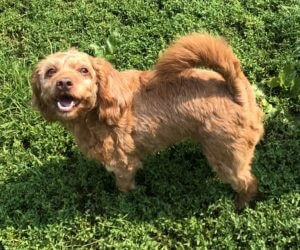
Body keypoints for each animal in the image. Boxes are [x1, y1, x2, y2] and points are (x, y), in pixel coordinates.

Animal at [31, 33, 264, 209]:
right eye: (50, 71)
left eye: (84, 70)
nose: (63, 83)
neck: (99, 108)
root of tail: (234, 88)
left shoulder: (123, 164)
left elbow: (124, 186)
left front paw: (123, 200)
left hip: (226, 158)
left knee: (248, 181)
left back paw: (241, 204)